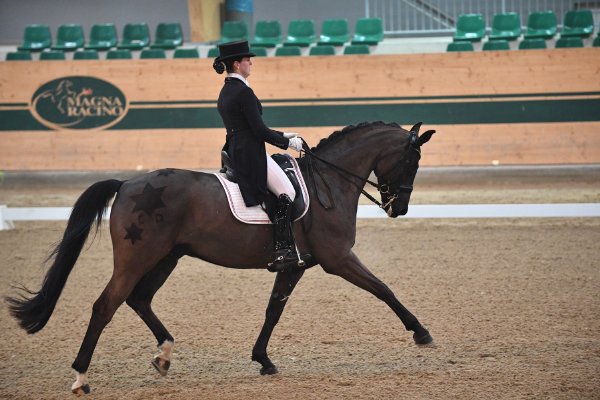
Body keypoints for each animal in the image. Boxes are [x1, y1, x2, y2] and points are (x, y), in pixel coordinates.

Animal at [5, 119, 436, 394]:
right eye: (412, 161)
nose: (399, 209)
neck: (328, 182)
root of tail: (126, 183)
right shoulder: (339, 259)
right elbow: (383, 289)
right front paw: (421, 333)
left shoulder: (295, 265)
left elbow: (273, 310)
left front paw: (263, 359)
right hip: (136, 258)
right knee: (105, 305)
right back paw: (81, 378)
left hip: (166, 257)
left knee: (139, 299)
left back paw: (164, 355)